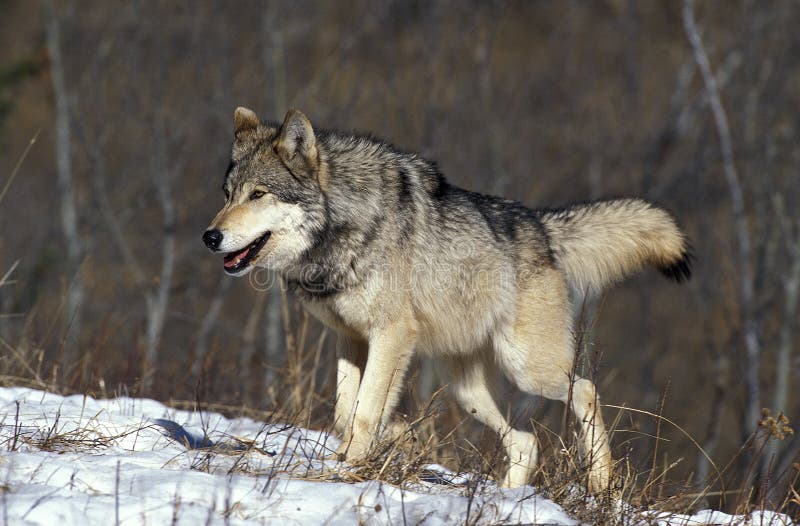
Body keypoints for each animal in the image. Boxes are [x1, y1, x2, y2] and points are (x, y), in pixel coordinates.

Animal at [203, 107, 692, 496]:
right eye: (227, 195)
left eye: (258, 194)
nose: (210, 237)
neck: (343, 225)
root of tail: (542, 226)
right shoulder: (351, 338)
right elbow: (346, 410)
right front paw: (393, 436)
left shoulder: (391, 335)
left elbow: (363, 410)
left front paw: (358, 460)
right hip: (466, 391)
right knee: (526, 442)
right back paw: (509, 497)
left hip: (527, 368)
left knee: (586, 389)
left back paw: (600, 482)